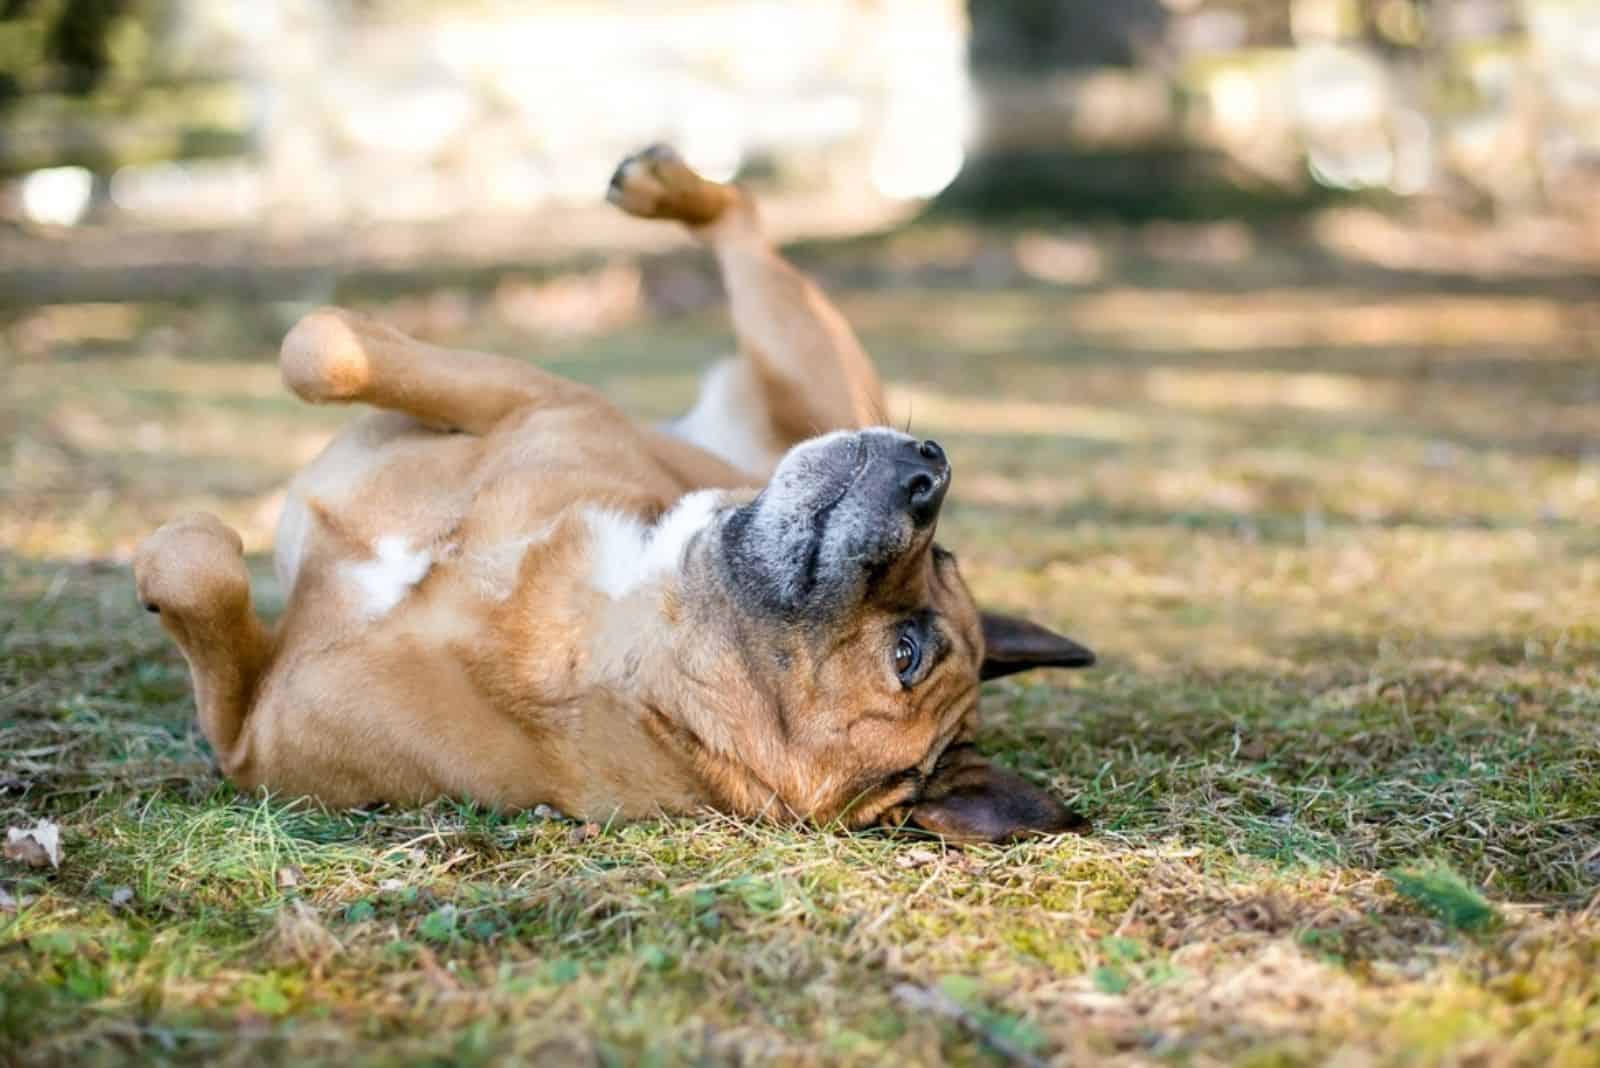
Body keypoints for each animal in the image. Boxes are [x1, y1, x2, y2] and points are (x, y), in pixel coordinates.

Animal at [131, 143, 1094, 844]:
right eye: (947, 553)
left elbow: (196, 564)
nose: (933, 470)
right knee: (742, 222)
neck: (624, 623)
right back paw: (666, 185)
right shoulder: (533, 396)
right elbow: (322, 342)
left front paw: (178, 551)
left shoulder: (246, 742)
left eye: (907, 654)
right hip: (807, 370)